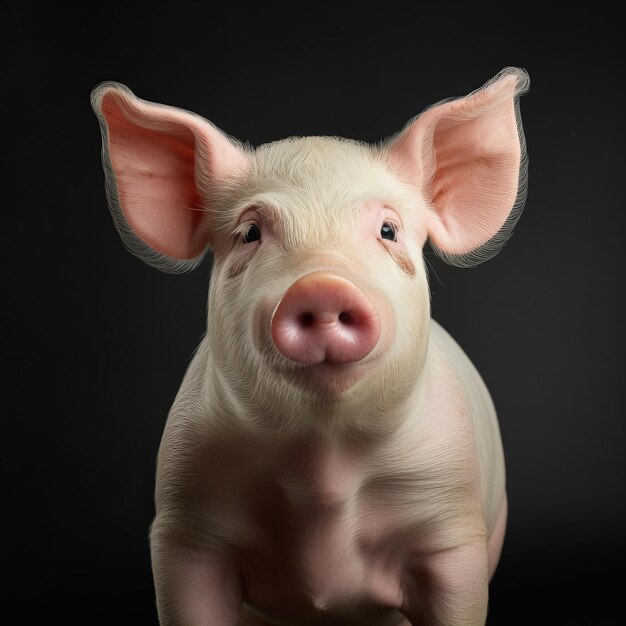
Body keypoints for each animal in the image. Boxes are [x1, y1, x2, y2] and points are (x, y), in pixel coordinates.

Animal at [91, 66, 528, 620]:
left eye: (388, 230)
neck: (323, 467)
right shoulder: (183, 528)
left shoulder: (452, 526)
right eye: (250, 233)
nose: (322, 284)